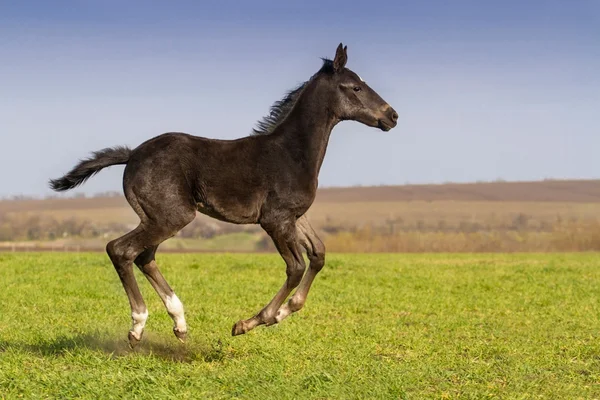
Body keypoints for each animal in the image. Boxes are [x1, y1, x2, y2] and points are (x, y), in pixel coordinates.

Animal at [50, 43, 398, 346]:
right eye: (355, 87)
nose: (392, 116)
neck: (291, 152)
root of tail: (132, 154)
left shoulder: (296, 217)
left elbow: (319, 255)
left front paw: (283, 312)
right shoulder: (274, 220)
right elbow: (296, 266)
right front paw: (251, 322)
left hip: (157, 216)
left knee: (144, 256)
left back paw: (180, 323)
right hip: (172, 215)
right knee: (121, 249)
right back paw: (138, 326)